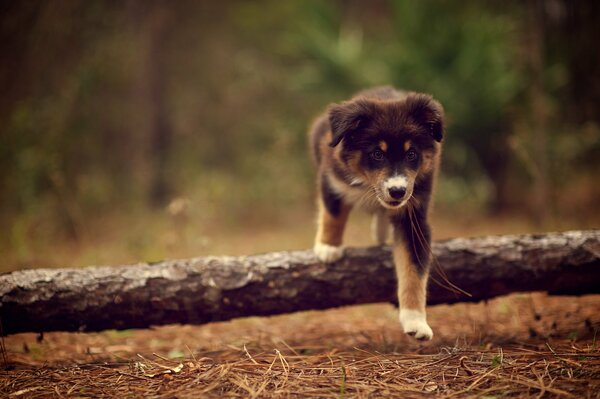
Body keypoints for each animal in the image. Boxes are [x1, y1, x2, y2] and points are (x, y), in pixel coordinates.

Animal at [312, 86, 442, 340]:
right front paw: (328, 247)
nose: (397, 191)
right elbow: (333, 213)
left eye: (411, 154)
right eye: (377, 154)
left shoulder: (414, 217)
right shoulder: (331, 176)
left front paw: (415, 321)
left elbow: (414, 270)